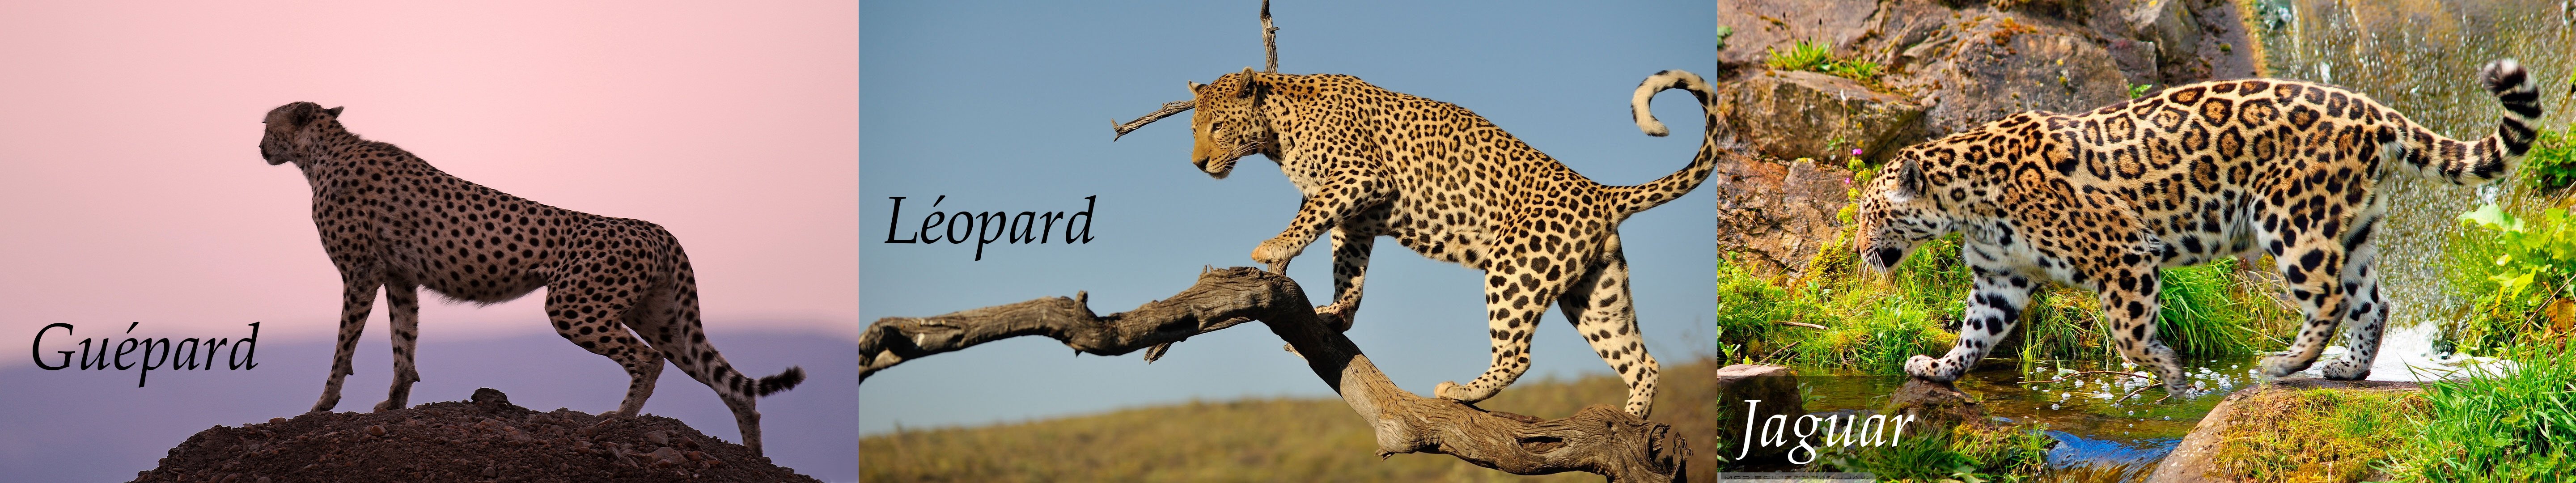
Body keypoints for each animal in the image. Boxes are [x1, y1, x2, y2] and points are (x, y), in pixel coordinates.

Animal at [258, 102, 808, 455]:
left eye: (267, 124)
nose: (259, 146)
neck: (321, 152)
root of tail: (653, 226)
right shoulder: (400, 277)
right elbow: (404, 344)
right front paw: (394, 404)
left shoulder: (361, 273)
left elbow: (344, 347)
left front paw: (323, 405)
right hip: (659, 317)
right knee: (730, 383)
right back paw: (754, 455)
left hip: (573, 306)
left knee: (648, 360)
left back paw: (619, 421)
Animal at [1182, 67, 1724, 416]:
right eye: (1193, 128)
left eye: (1217, 126)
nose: (1198, 164)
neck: (1276, 133)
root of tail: (1600, 192)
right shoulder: (1356, 219)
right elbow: (1348, 270)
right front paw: (1336, 314)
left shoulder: (1361, 178)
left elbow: (1311, 218)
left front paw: (1274, 248)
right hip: (1595, 294)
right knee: (1642, 361)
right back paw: (1633, 421)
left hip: (1515, 270)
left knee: (1518, 356)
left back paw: (1461, 392)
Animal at [1852, 59, 2541, 393]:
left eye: (1869, 214)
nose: (1859, 252)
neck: (1966, 202)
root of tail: (2375, 111)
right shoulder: (2000, 279)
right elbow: (1975, 333)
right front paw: (1938, 369)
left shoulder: (2125, 253)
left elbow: (2129, 333)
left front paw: (2168, 372)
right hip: (2353, 230)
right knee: (2373, 301)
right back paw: (2349, 370)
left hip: (2292, 218)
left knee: (2327, 298)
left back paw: (2284, 365)